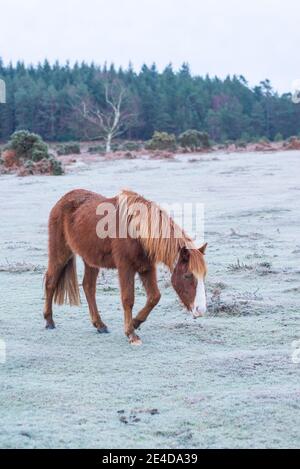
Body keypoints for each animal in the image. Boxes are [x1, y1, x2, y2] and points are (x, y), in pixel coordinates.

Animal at [44, 188, 207, 346]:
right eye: (187, 276)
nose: (201, 310)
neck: (137, 232)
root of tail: (62, 200)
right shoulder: (125, 268)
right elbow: (128, 299)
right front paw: (131, 334)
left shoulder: (146, 268)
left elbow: (154, 297)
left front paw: (135, 323)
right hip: (60, 253)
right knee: (51, 282)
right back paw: (49, 321)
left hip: (91, 260)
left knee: (88, 287)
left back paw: (100, 325)